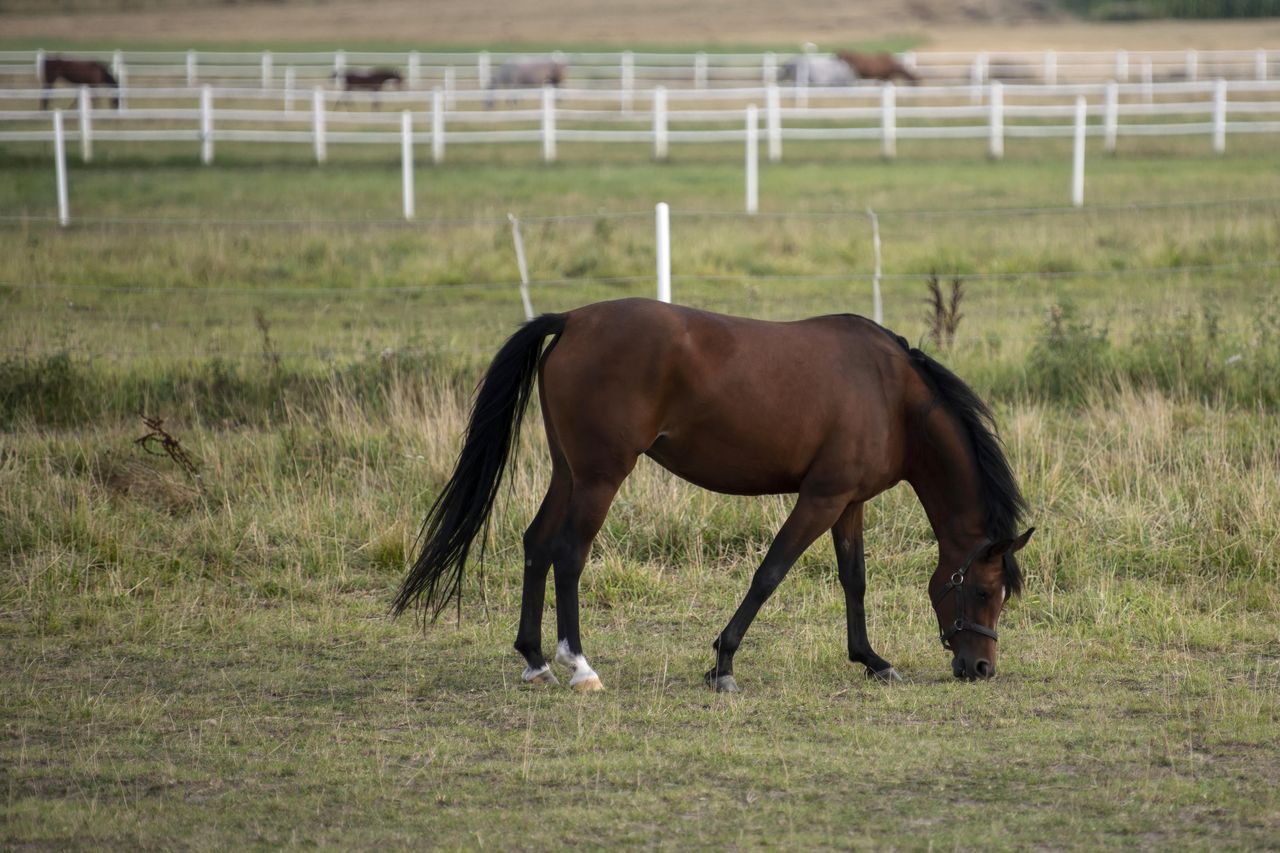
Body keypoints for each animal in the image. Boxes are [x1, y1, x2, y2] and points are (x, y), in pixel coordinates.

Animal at [394, 298, 1034, 691]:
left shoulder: (848, 502)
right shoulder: (820, 498)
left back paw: (535, 661)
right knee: (569, 554)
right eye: (983, 591)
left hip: (568, 471)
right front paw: (723, 662)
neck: (892, 395)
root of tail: (573, 319)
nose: (981, 666)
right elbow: (770, 572)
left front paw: (871, 660)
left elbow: (854, 580)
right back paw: (579, 665)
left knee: (536, 543)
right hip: (600, 476)